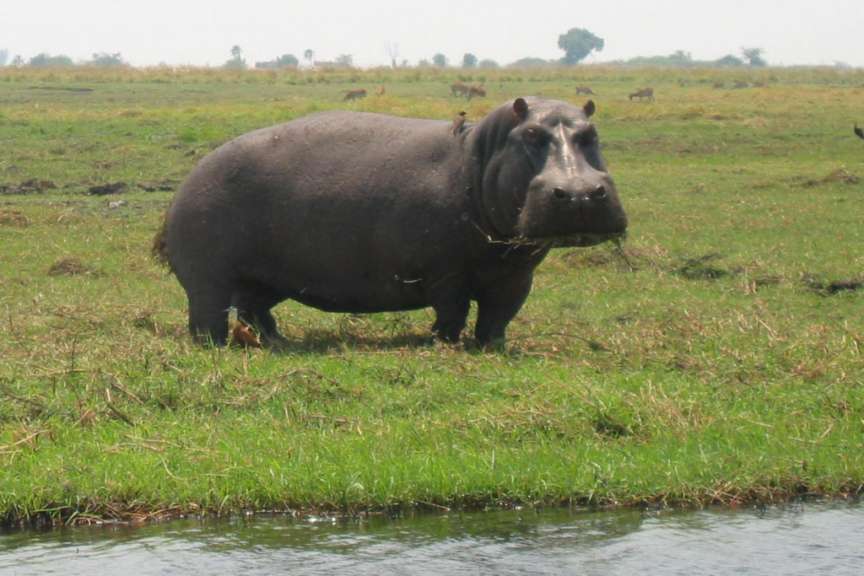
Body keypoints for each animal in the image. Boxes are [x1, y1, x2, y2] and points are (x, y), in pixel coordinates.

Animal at [154, 97, 627, 346]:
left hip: (267, 280)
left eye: (591, 133)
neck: (481, 157)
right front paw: (443, 344)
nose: (580, 193)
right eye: (530, 136)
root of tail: (189, 178)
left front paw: (492, 348)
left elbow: (498, 318)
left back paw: (277, 342)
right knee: (209, 316)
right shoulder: (446, 274)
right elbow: (453, 312)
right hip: (210, 279)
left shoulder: (516, 275)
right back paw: (217, 346)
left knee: (255, 311)